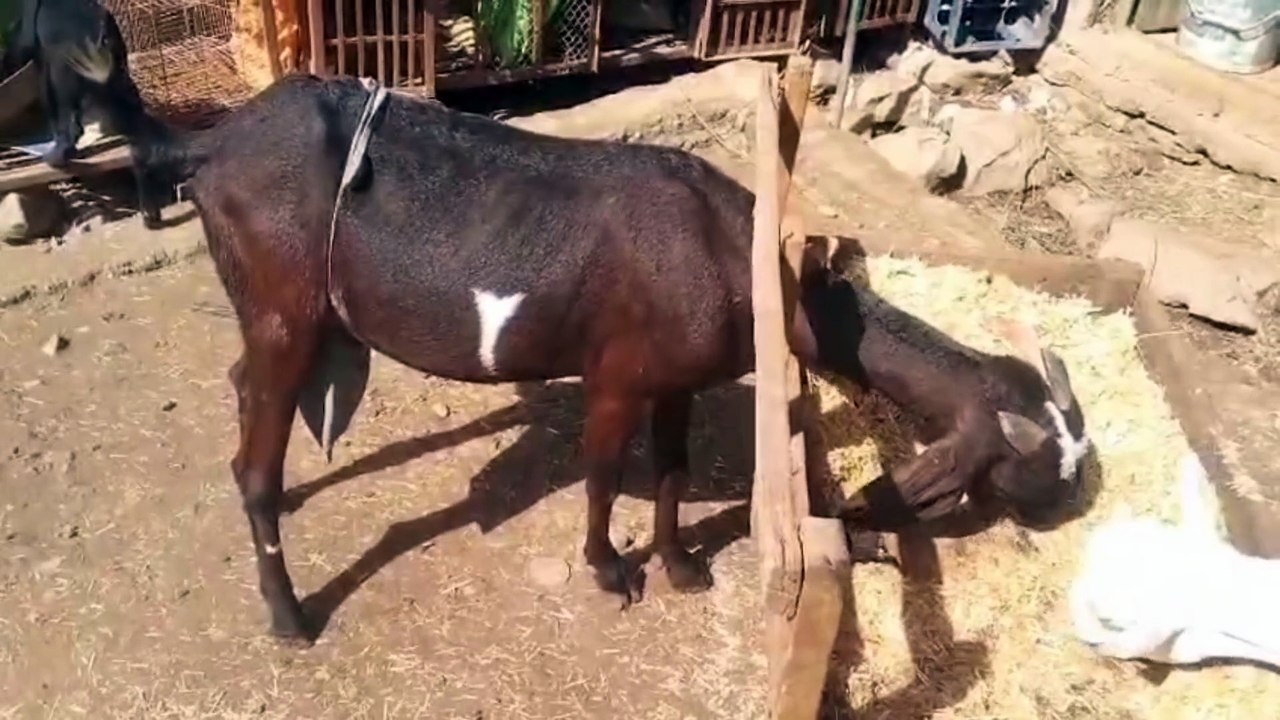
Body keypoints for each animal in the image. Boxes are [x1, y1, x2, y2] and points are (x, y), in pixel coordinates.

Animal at [2, 0, 171, 226]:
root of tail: (100, 33)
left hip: (68, 69)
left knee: (67, 113)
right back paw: (150, 213)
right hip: (120, 79)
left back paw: (58, 156)